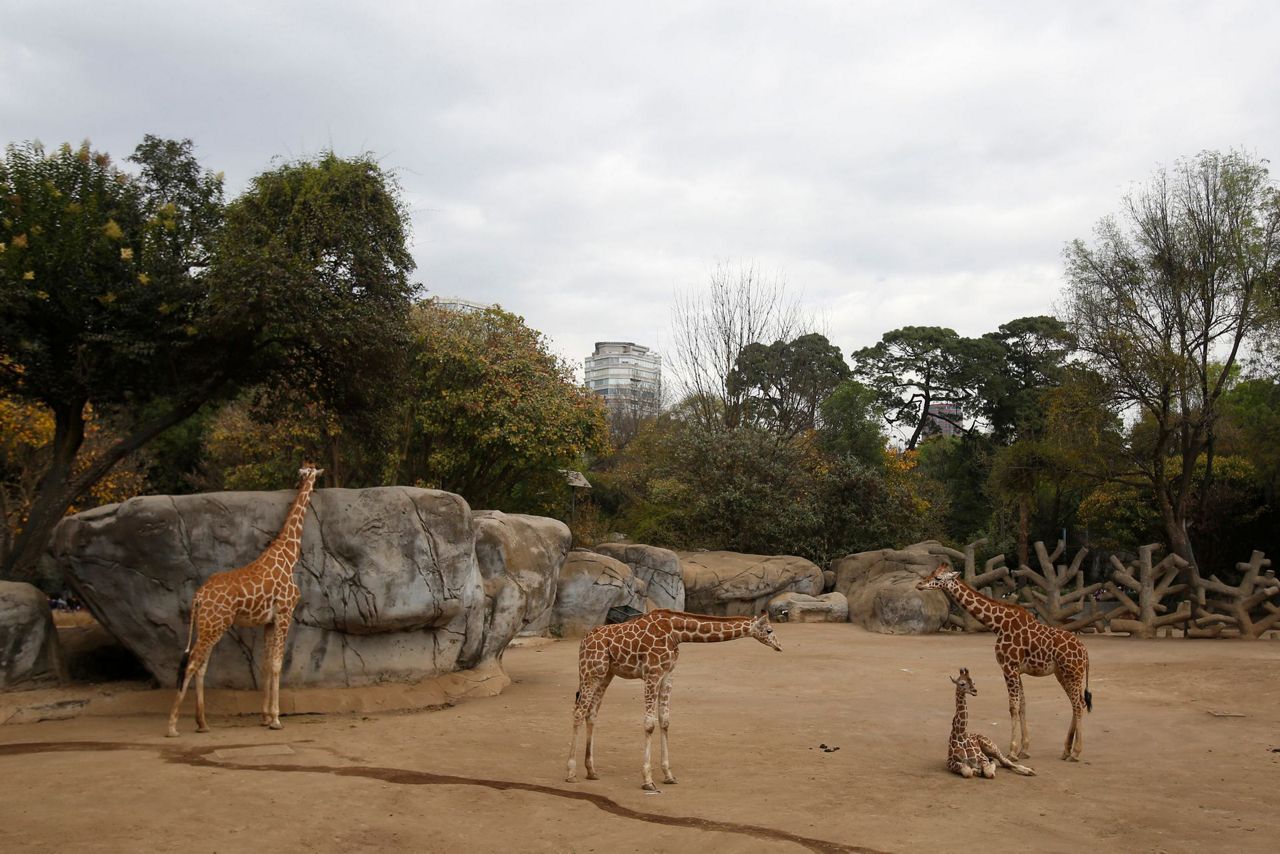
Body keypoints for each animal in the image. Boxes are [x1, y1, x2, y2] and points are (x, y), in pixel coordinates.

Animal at [165, 463, 323, 737]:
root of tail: (198, 596)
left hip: (207, 625)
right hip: (215, 625)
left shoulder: (268, 621)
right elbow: (277, 664)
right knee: (192, 663)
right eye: (314, 472)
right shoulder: (285, 613)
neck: (288, 555)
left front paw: (265, 716)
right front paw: (276, 719)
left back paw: (202, 722)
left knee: (200, 665)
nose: (315, 483)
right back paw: (173, 726)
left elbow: (266, 664)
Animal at [564, 608, 782, 792]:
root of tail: (583, 641)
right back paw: (571, 773)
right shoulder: (652, 673)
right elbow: (649, 724)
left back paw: (591, 771)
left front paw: (668, 775)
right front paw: (647, 780)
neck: (677, 633)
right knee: (579, 711)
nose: (780, 646)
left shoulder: (668, 674)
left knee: (592, 712)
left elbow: (665, 721)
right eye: (769, 630)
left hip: (606, 674)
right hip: (590, 671)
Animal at [917, 562, 1092, 761]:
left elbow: (1013, 707)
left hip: (1072, 673)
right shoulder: (1017, 669)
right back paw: (1066, 750)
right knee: (1078, 703)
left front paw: (1012, 751)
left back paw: (1076, 753)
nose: (919, 585)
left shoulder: (1008, 667)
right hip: (1062, 674)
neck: (998, 624)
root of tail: (1085, 652)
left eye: (938, 578)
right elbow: (1022, 705)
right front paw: (1024, 749)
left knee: (1078, 704)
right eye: (932, 573)